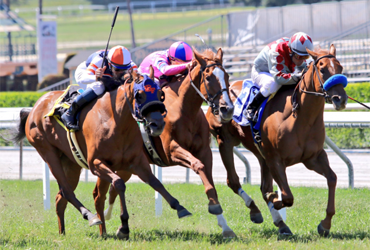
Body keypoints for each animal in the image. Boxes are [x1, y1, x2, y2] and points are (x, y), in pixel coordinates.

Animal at [13, 68, 191, 238]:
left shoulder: (136, 162)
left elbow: (156, 182)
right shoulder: (96, 163)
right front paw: (124, 227)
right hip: (48, 152)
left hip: (71, 164)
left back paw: (64, 232)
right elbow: (119, 184)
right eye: (139, 95)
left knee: (60, 197)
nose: (158, 124)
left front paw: (180, 207)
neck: (115, 121)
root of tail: (35, 106)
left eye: (161, 94)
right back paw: (91, 217)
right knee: (68, 191)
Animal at [99, 48, 237, 238]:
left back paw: (112, 220)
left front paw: (225, 226)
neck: (184, 109)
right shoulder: (171, 151)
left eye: (227, 75)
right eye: (208, 77)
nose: (227, 109)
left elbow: (209, 182)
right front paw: (214, 207)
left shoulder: (204, 151)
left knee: (114, 187)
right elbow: (198, 165)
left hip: (127, 165)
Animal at [205, 45, 346, 236]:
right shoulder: (276, 159)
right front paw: (275, 199)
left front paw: (325, 223)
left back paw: (280, 223)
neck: (300, 117)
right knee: (233, 181)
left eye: (340, 68)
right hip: (224, 141)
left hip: (260, 153)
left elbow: (332, 178)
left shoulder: (313, 157)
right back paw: (256, 211)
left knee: (263, 186)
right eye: (322, 69)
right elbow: (286, 196)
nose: (341, 99)